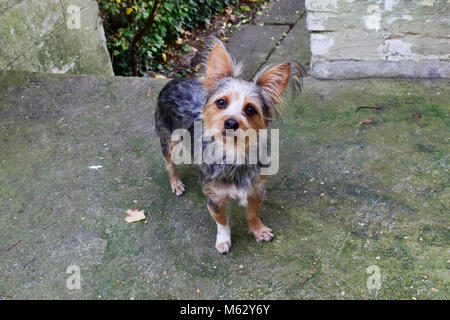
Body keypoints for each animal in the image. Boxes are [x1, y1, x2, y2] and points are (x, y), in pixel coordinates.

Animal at [155, 38, 302, 254]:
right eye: (221, 102)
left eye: (250, 109)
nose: (231, 122)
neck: (233, 151)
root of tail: (176, 80)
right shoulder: (215, 197)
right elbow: (222, 221)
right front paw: (223, 240)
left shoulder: (256, 189)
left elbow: (252, 213)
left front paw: (258, 230)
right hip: (168, 139)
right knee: (169, 164)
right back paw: (176, 184)